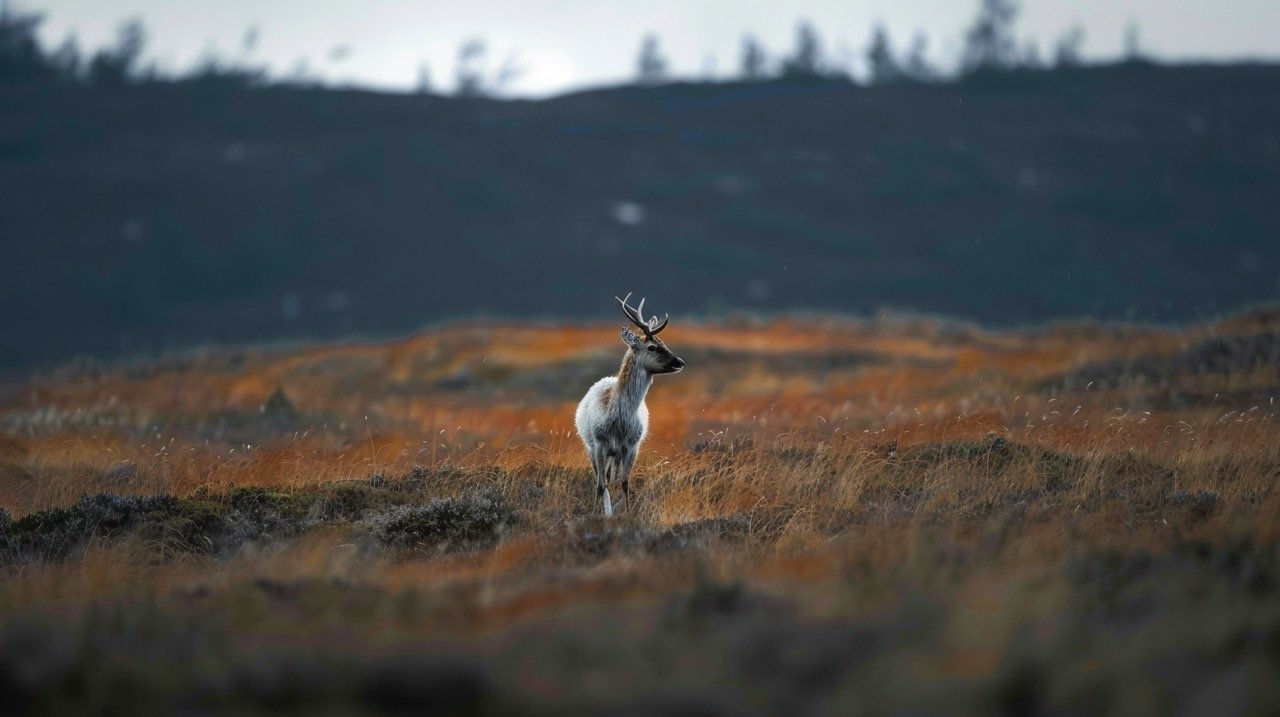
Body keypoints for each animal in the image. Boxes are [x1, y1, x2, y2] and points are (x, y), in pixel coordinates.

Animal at [576, 294, 686, 517]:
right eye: (652, 347)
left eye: (664, 342)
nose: (680, 362)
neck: (618, 419)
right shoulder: (599, 443)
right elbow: (600, 485)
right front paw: (595, 514)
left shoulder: (632, 446)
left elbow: (625, 483)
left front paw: (627, 514)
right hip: (591, 446)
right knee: (602, 480)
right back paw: (606, 511)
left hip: (616, 454)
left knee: (612, 478)